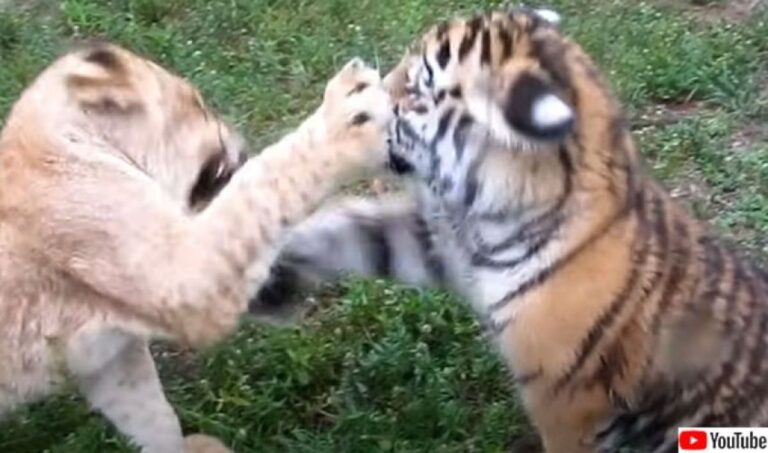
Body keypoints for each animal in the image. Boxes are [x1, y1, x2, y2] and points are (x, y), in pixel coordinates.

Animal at [0, 43, 392, 452]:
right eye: (198, 104)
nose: (240, 138)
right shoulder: (181, 274)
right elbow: (263, 183)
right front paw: (352, 113)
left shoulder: (109, 359)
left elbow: (150, 413)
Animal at [248, 7, 768, 453]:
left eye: (415, 92)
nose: (365, 99)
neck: (486, 219)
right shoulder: (441, 241)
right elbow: (353, 228)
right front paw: (269, 275)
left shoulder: (569, 411)